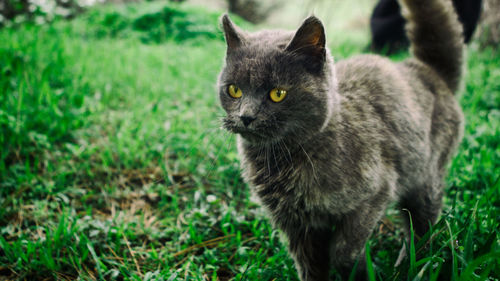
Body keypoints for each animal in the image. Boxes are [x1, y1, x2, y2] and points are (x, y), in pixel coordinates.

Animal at [218, 0, 464, 278]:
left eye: (277, 94)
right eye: (234, 90)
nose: (246, 116)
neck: (283, 160)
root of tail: (427, 70)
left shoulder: (374, 194)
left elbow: (344, 251)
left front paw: (363, 272)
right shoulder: (296, 225)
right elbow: (310, 266)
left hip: (425, 177)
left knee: (424, 224)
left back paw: (412, 265)